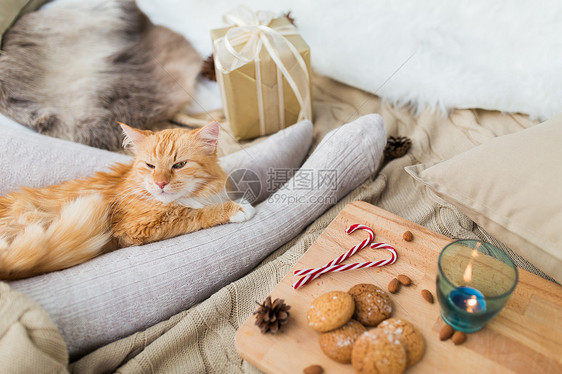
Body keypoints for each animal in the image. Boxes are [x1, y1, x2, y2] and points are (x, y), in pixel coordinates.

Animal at [0, 121, 254, 280]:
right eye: (150, 166)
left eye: (180, 165)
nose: (160, 183)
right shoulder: (136, 228)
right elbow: (193, 213)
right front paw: (236, 208)